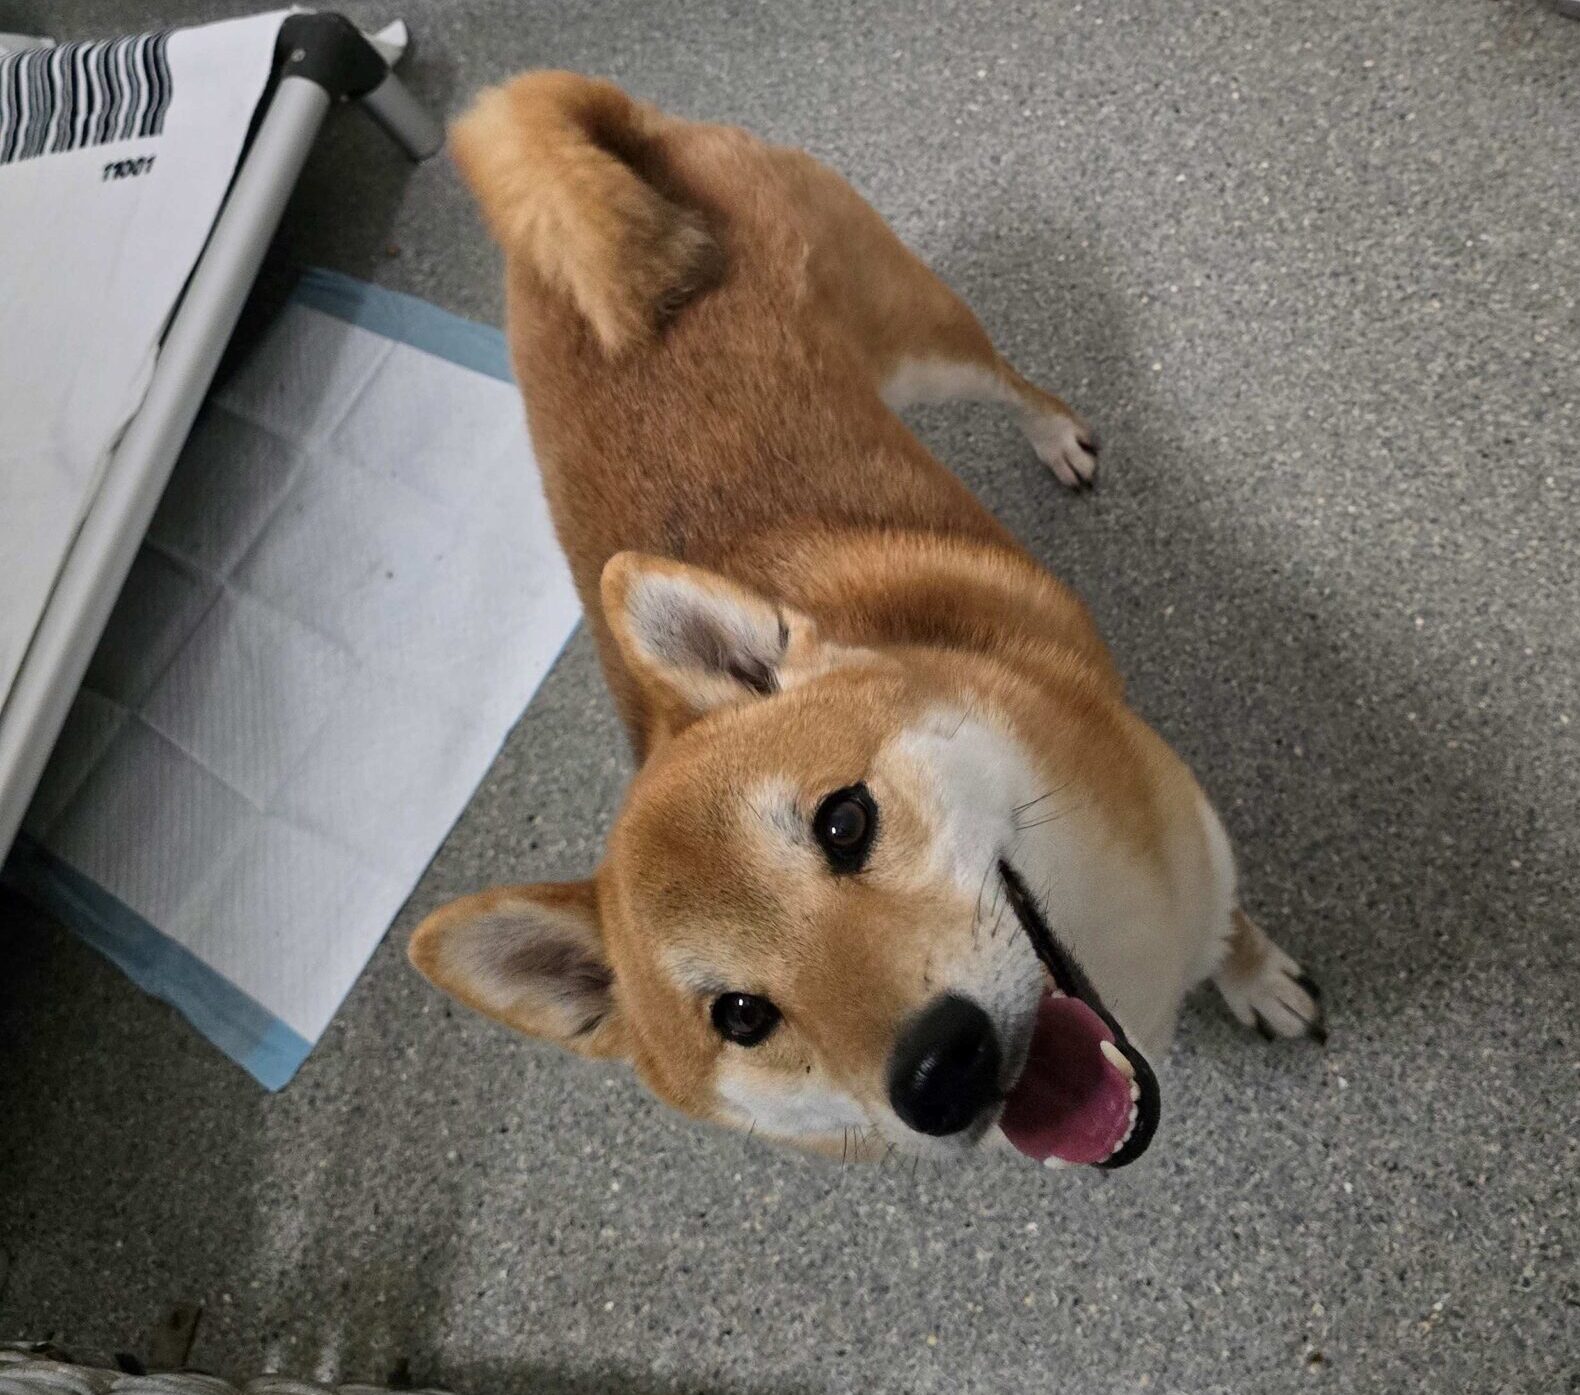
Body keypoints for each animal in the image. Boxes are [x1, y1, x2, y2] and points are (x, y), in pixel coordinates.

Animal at [410, 71, 1325, 1170]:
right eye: (741, 1015)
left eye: (844, 822)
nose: (942, 1067)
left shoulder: (1203, 850)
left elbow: (1233, 932)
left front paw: (1256, 980)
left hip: (927, 339)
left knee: (1014, 381)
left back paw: (1057, 436)